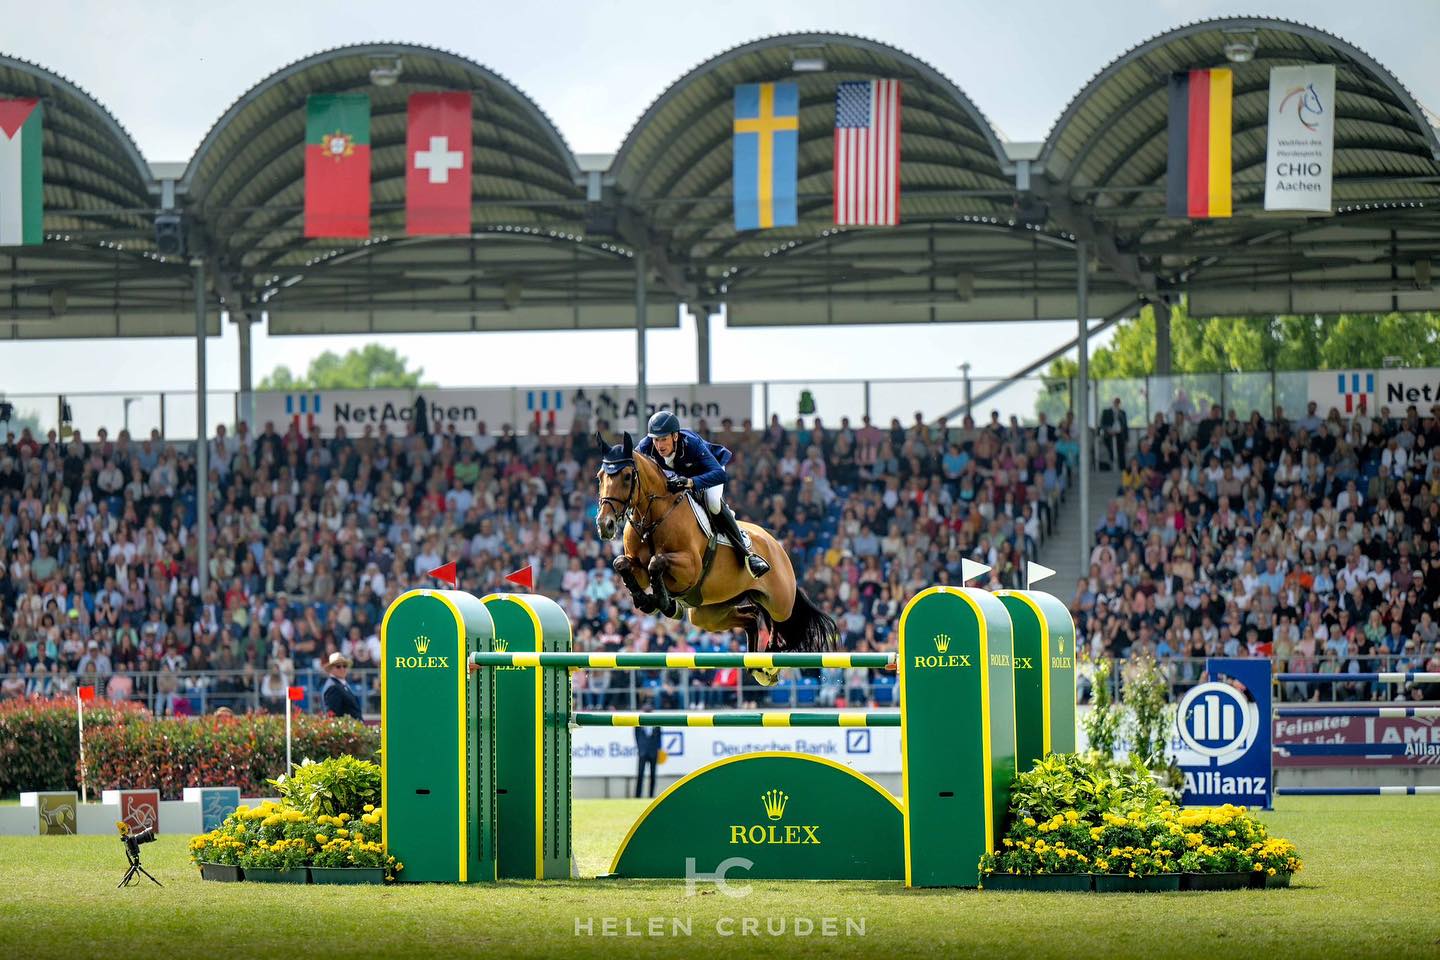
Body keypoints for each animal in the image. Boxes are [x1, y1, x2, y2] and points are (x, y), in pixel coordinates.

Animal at [594, 431, 839, 686]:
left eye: (627, 476)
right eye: (600, 477)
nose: (605, 525)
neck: (654, 517)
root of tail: (777, 546)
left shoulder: (689, 568)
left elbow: (657, 562)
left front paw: (663, 602)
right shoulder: (638, 566)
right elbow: (622, 564)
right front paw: (647, 601)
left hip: (779, 601)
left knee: (778, 620)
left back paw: (772, 656)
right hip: (708, 614)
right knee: (753, 616)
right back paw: (758, 666)